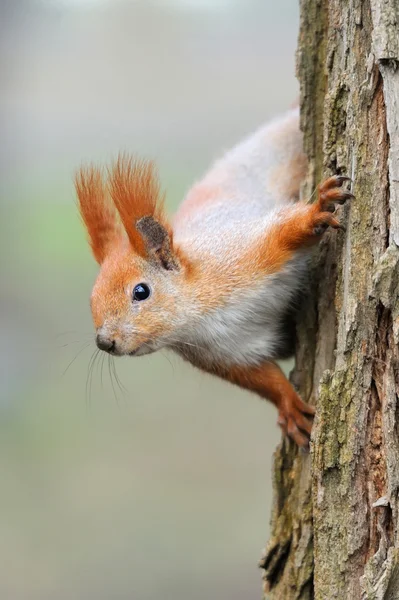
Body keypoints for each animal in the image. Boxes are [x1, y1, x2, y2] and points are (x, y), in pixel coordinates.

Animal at [75, 106, 354, 446]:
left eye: (141, 292)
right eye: (91, 300)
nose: (105, 342)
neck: (197, 318)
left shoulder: (241, 254)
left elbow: (282, 233)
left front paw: (316, 211)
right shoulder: (227, 355)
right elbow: (264, 378)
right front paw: (288, 407)